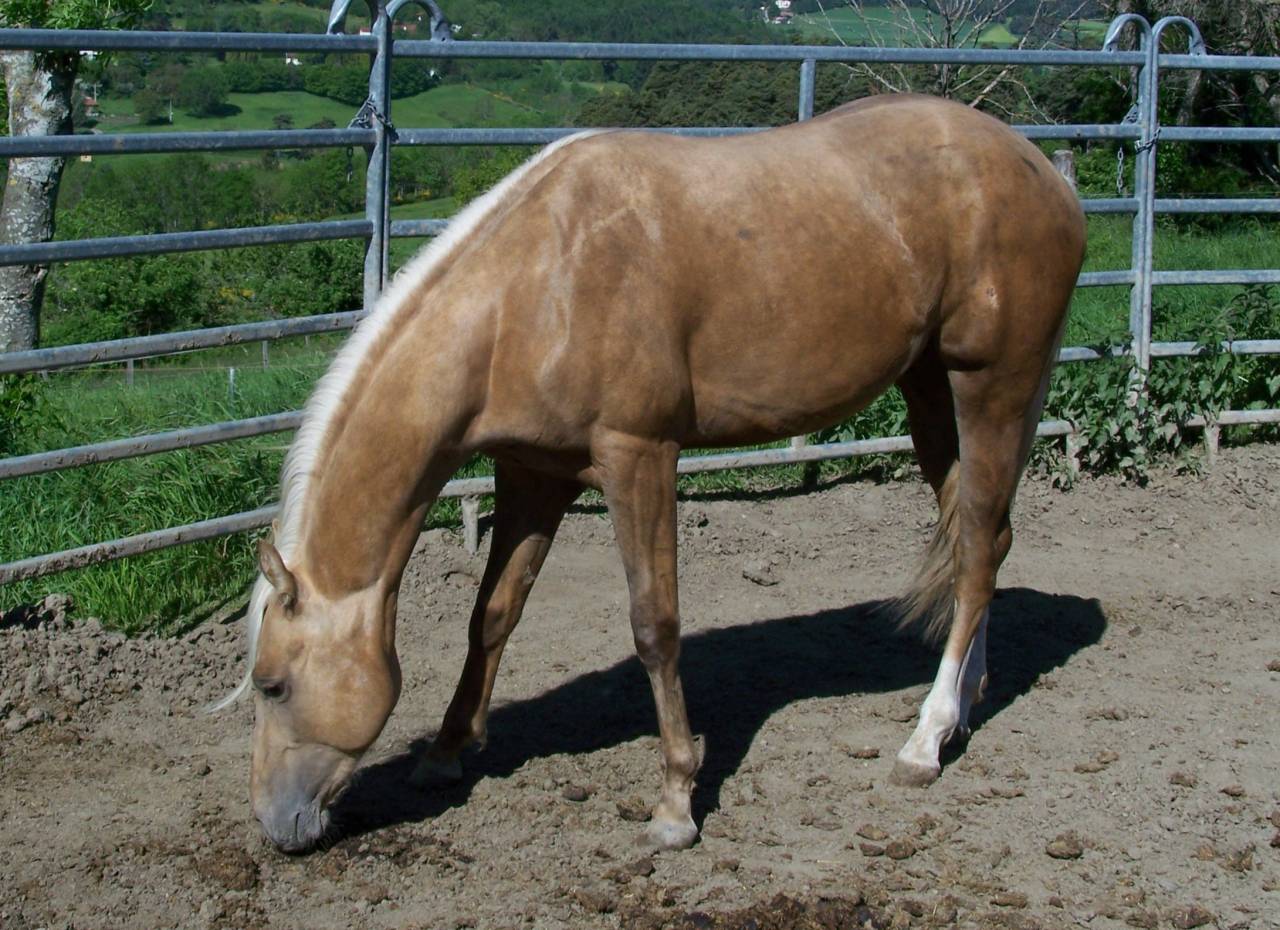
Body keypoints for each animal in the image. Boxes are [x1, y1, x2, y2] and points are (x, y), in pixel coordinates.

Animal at [221, 93, 1086, 853]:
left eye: (273, 685)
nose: (273, 826)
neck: (533, 290)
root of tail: (1044, 172)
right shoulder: (533, 473)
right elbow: (492, 614)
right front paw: (446, 751)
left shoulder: (638, 456)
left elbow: (654, 626)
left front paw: (675, 803)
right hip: (931, 392)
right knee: (980, 536)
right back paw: (966, 702)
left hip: (992, 385)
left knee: (973, 554)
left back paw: (926, 739)